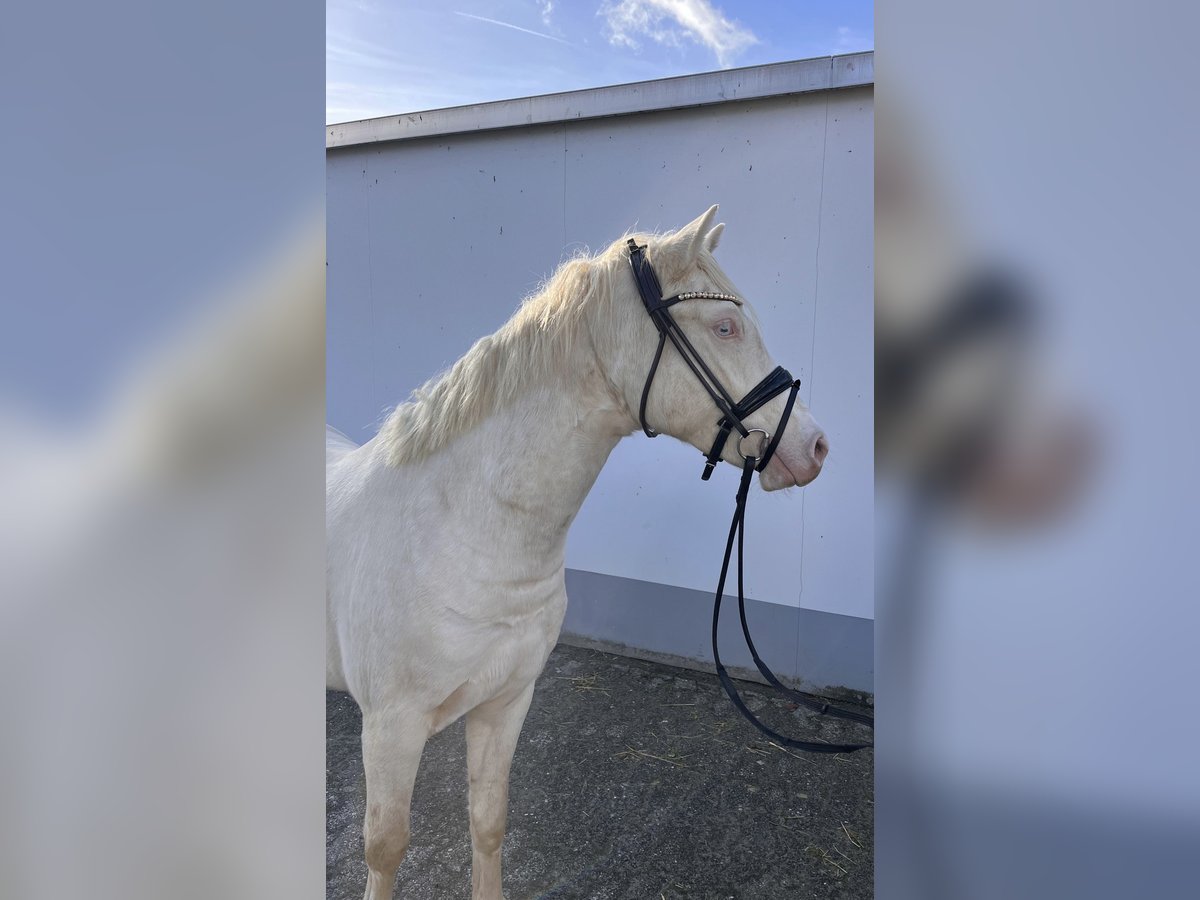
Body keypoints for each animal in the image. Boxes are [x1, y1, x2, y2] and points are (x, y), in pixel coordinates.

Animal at [326, 207, 825, 897]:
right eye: (724, 327)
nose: (815, 447)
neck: (458, 534)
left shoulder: (507, 702)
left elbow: (488, 824)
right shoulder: (389, 729)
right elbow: (385, 848)